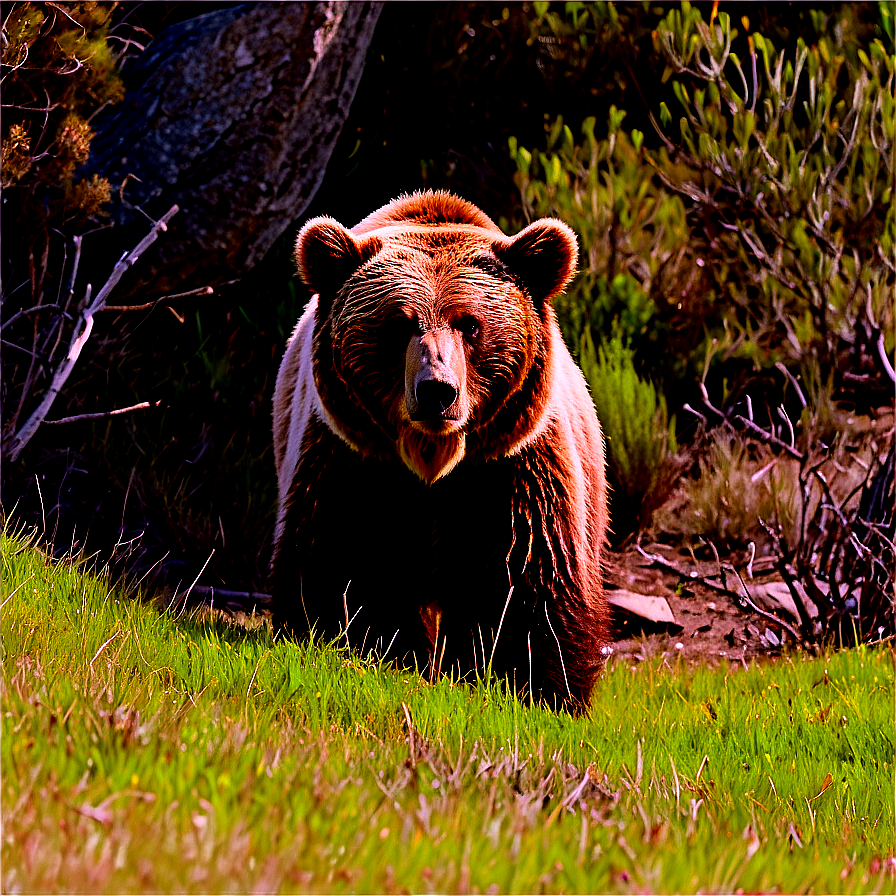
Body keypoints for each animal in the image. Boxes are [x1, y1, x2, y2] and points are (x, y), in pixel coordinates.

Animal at [272, 192, 608, 712]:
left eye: (471, 325)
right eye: (398, 324)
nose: (436, 391)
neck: (432, 460)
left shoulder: (512, 468)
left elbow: (529, 582)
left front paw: (532, 686)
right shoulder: (350, 459)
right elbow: (342, 563)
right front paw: (375, 648)